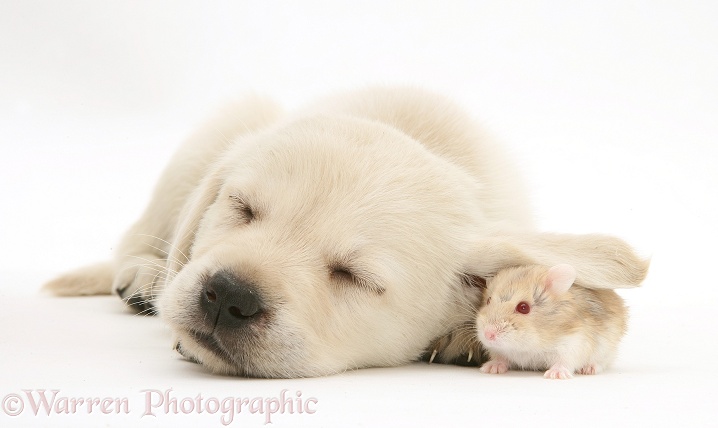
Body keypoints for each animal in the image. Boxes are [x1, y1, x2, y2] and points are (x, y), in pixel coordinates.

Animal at [478, 262, 632, 380]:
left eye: (523, 307)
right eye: (488, 300)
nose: (488, 335)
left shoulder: (573, 343)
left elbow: (564, 361)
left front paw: (555, 375)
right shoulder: (499, 351)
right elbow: (500, 357)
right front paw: (489, 368)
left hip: (606, 350)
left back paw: (588, 369)